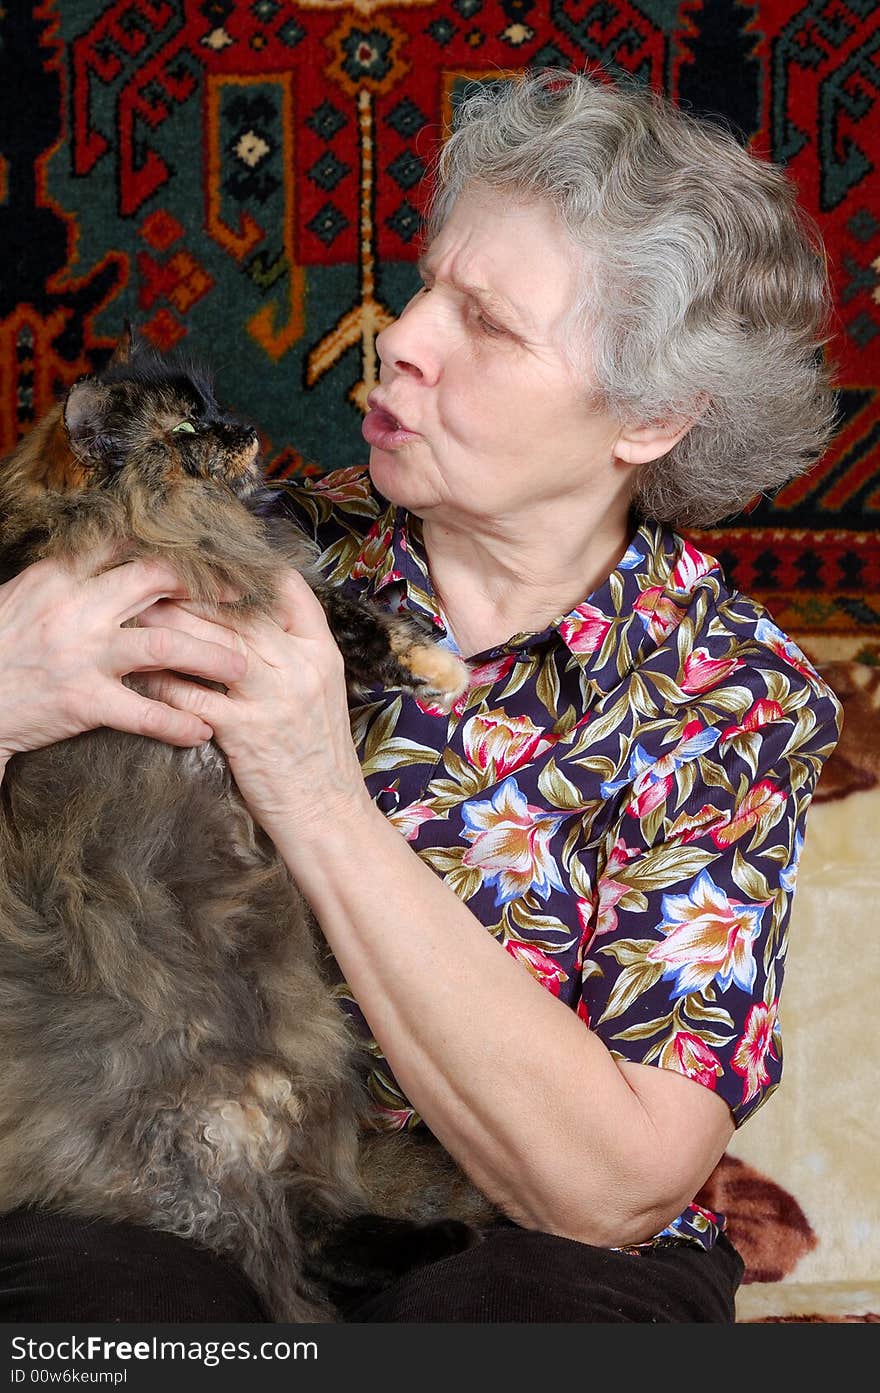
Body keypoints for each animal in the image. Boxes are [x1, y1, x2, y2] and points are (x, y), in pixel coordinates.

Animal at [0, 331, 495, 1320]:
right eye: (190, 428)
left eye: (217, 409)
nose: (245, 426)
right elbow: (353, 618)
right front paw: (445, 668)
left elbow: (354, 614)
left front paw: (440, 664)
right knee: (299, 1239)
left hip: (308, 1089)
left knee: (313, 1231)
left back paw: (447, 1238)